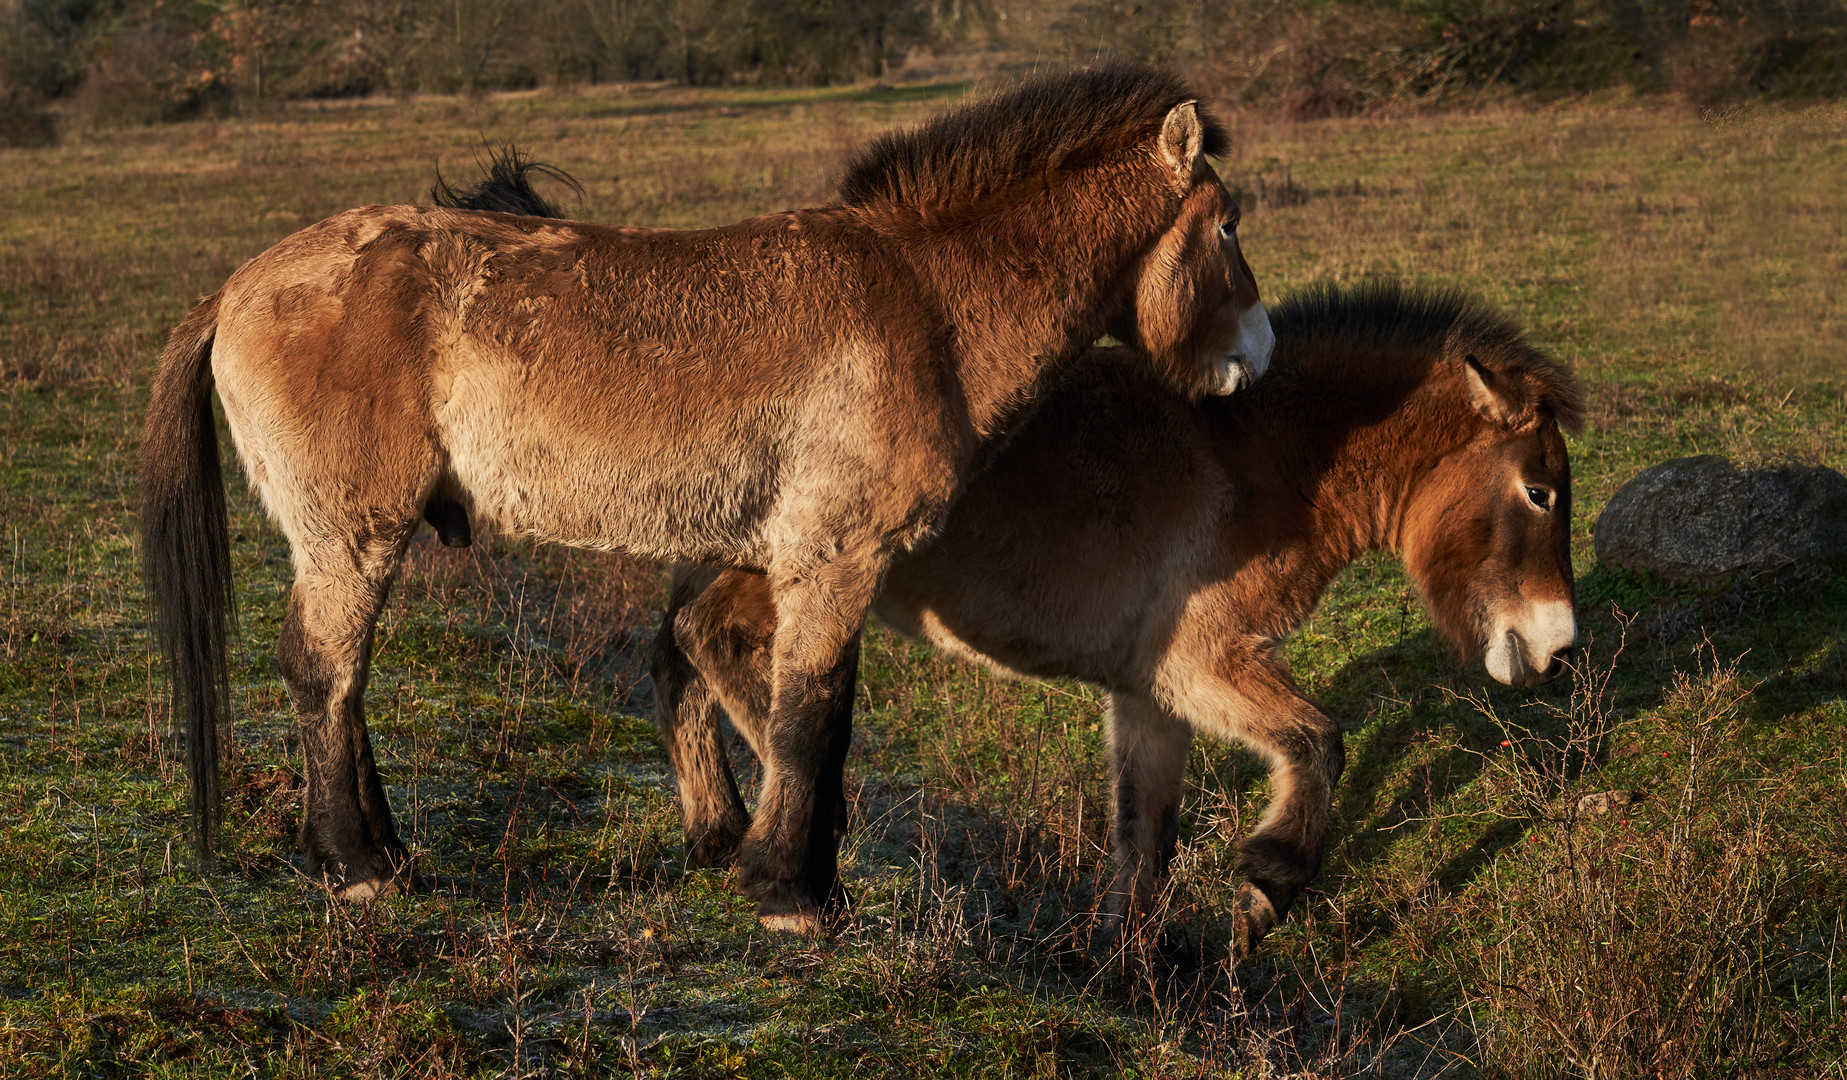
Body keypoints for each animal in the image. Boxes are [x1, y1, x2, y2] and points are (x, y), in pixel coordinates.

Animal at [144, 63, 1278, 930]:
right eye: (1225, 226)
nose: (1257, 358)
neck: (923, 303)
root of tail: (239, 286)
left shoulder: (780, 558)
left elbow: (772, 697)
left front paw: (777, 860)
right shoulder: (835, 560)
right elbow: (810, 718)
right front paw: (790, 893)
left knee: (343, 683)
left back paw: (378, 849)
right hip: (351, 537)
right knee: (323, 674)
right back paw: (358, 866)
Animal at [653, 282, 1588, 945]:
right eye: (1539, 491)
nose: (1558, 648)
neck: (1266, 459)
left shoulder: (1151, 692)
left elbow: (1145, 838)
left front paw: (1126, 972)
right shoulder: (1201, 664)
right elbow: (1320, 740)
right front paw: (1268, 884)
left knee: (674, 657)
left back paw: (719, 831)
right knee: (714, 644)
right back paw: (797, 858)